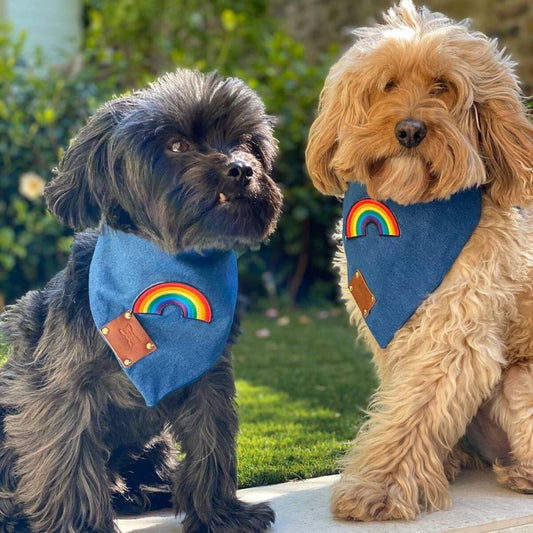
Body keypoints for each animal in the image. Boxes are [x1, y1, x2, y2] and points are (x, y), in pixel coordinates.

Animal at [0, 70, 282, 532]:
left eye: (245, 141)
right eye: (177, 145)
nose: (241, 169)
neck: (168, 267)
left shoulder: (209, 380)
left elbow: (212, 446)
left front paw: (220, 515)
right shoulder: (62, 391)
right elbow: (68, 461)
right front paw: (80, 525)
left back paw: (147, 490)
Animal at [304, 0, 532, 520]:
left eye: (442, 87)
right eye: (387, 85)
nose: (409, 130)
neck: (411, 216)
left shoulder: (454, 335)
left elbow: (414, 410)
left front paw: (379, 488)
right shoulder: (392, 332)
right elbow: (403, 404)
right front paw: (433, 467)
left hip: (521, 379)